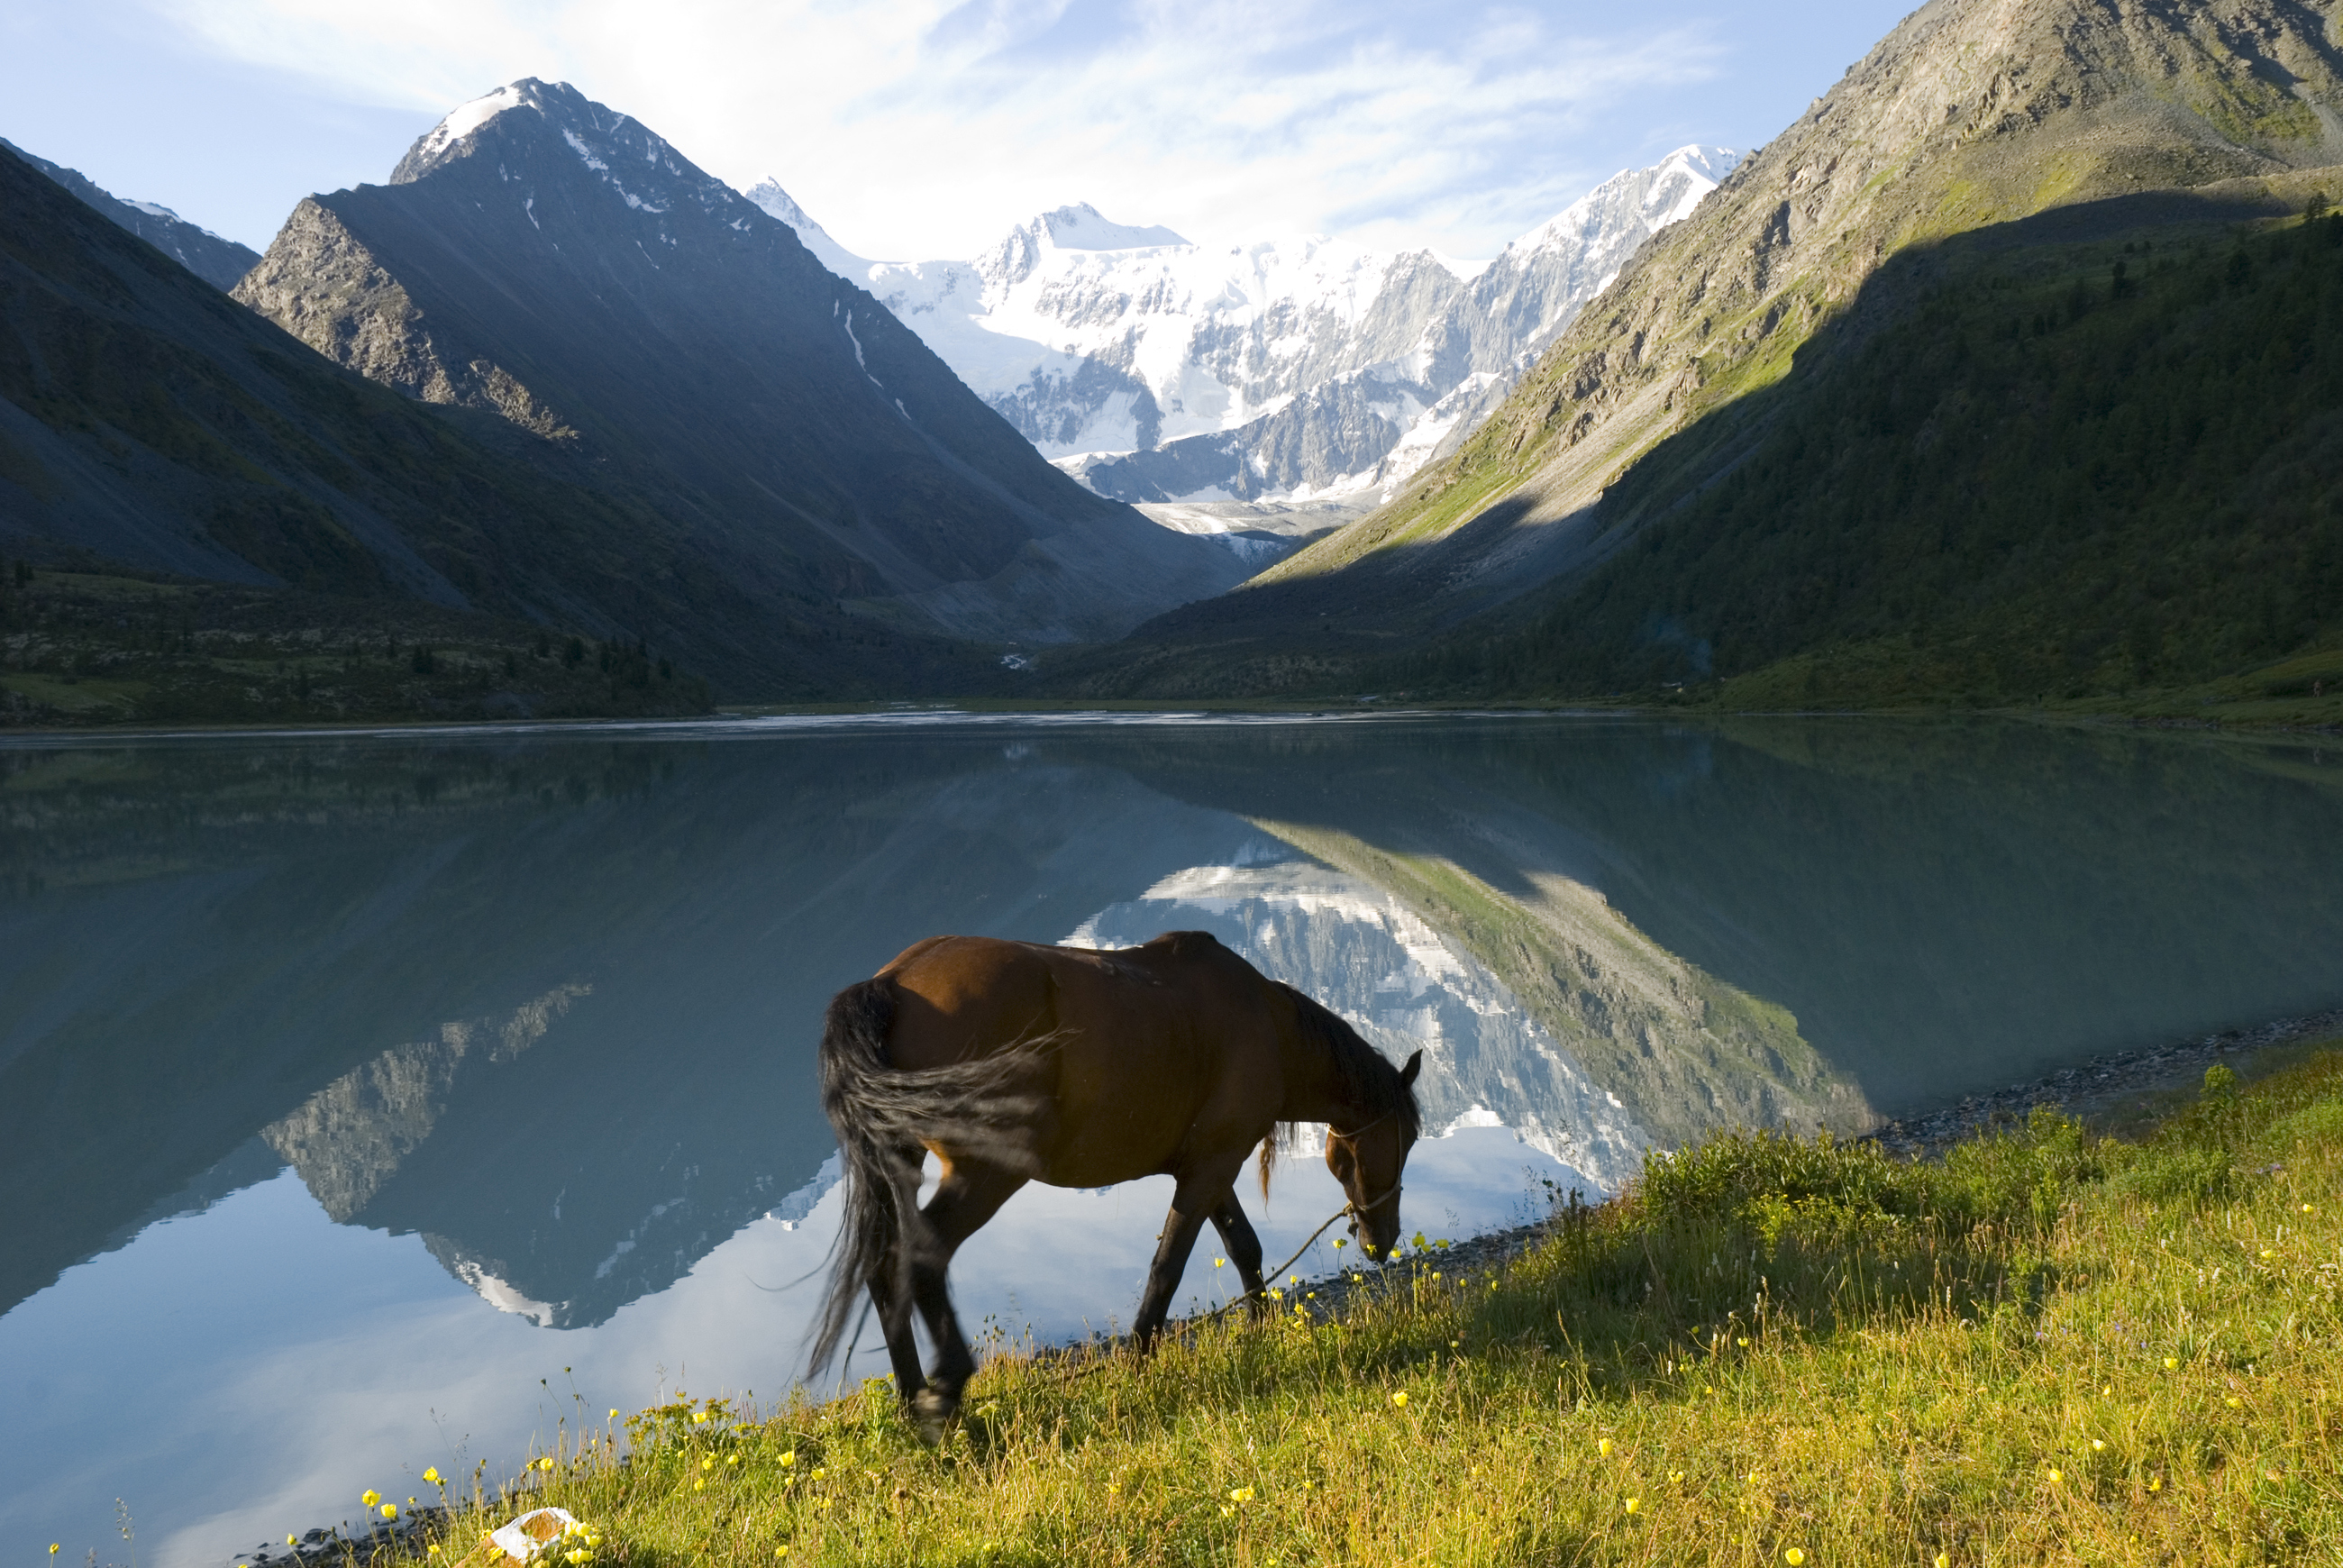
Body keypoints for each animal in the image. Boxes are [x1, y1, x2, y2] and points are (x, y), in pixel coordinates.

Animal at [815, 927, 1415, 1434]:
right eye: (1407, 1138)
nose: (1381, 1241)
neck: (1265, 1024)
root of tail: (891, 982)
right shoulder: (1211, 1169)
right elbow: (1168, 1268)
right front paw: (1140, 1363)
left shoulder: (1209, 1167)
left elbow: (1244, 1247)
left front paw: (1261, 1331)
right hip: (987, 1175)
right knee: (920, 1256)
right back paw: (946, 1394)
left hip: (903, 1163)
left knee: (883, 1267)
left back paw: (910, 1399)